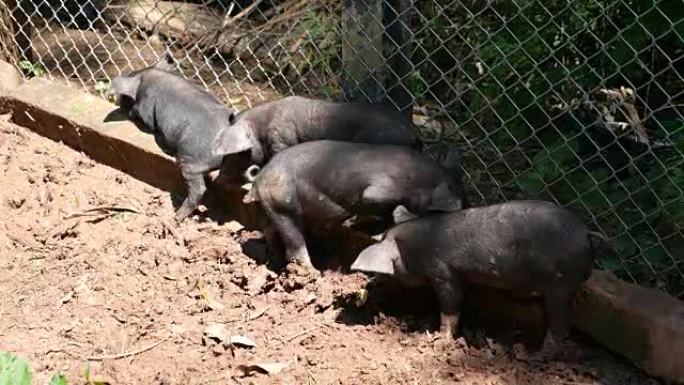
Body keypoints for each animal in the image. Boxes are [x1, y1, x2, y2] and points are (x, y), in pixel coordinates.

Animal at [105, 55, 247, 220]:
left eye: (124, 97)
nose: (116, 100)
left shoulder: (145, 107)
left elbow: (139, 114)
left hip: (191, 159)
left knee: (198, 188)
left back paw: (177, 217)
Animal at [240, 140, 464, 270]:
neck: (424, 181)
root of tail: (259, 178)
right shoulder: (380, 191)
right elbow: (380, 202)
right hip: (283, 206)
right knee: (294, 243)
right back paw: (312, 272)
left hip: (270, 206)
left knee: (269, 231)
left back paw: (274, 262)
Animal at [350, 201, 608, 354]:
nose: (372, 282)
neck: (420, 245)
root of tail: (586, 233)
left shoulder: (444, 272)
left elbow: (450, 304)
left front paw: (439, 339)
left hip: (561, 285)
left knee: (559, 325)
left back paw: (533, 354)